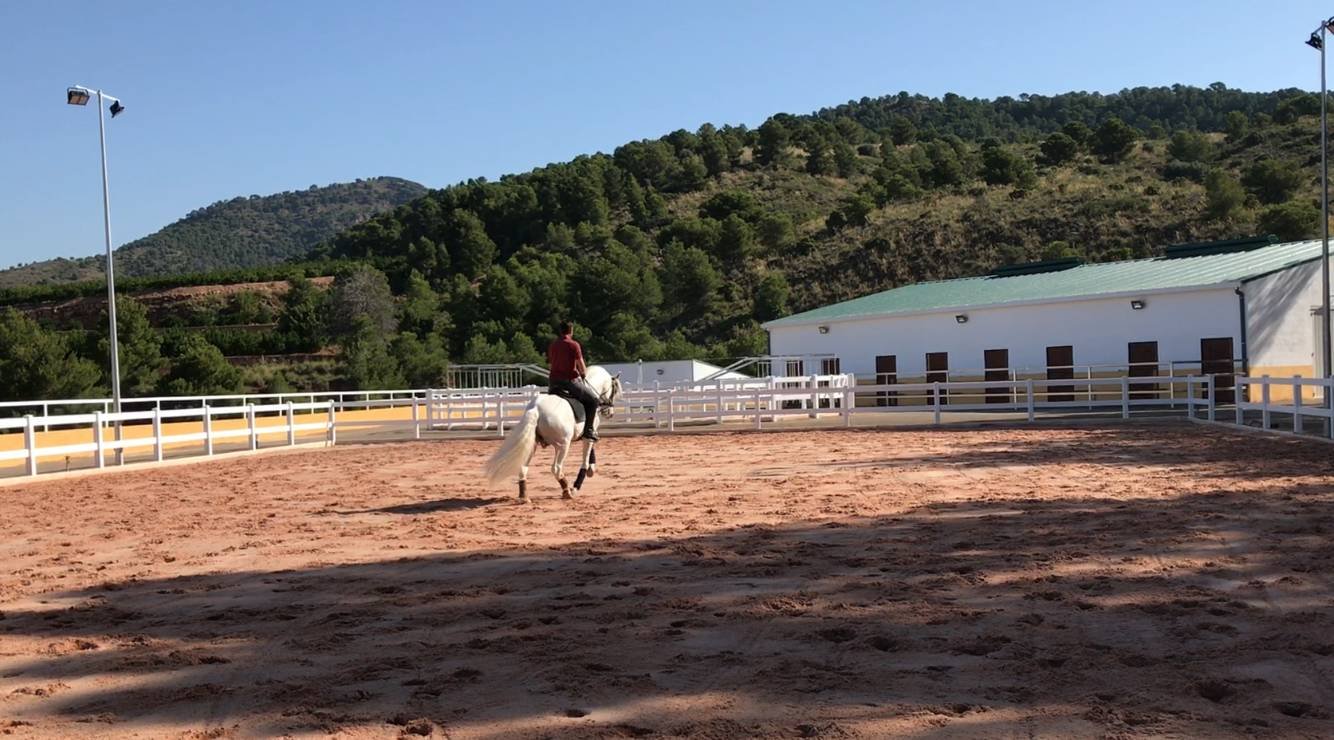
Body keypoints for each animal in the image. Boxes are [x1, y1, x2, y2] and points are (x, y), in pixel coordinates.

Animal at [482, 365, 621, 501]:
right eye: (614, 390)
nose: (609, 412)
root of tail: (536, 408)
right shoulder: (589, 434)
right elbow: (585, 459)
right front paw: (579, 483)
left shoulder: (585, 434)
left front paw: (590, 469)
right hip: (562, 445)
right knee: (556, 468)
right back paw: (567, 491)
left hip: (532, 445)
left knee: (523, 467)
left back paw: (524, 496)